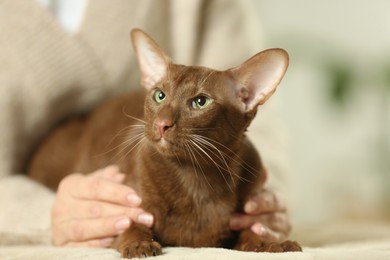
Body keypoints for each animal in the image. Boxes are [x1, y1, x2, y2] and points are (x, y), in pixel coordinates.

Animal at [28, 29, 302, 258]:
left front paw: (272, 243)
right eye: (159, 95)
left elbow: (251, 229)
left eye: (200, 102)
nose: (162, 124)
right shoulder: (126, 203)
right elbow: (130, 224)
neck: (197, 177)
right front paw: (138, 244)